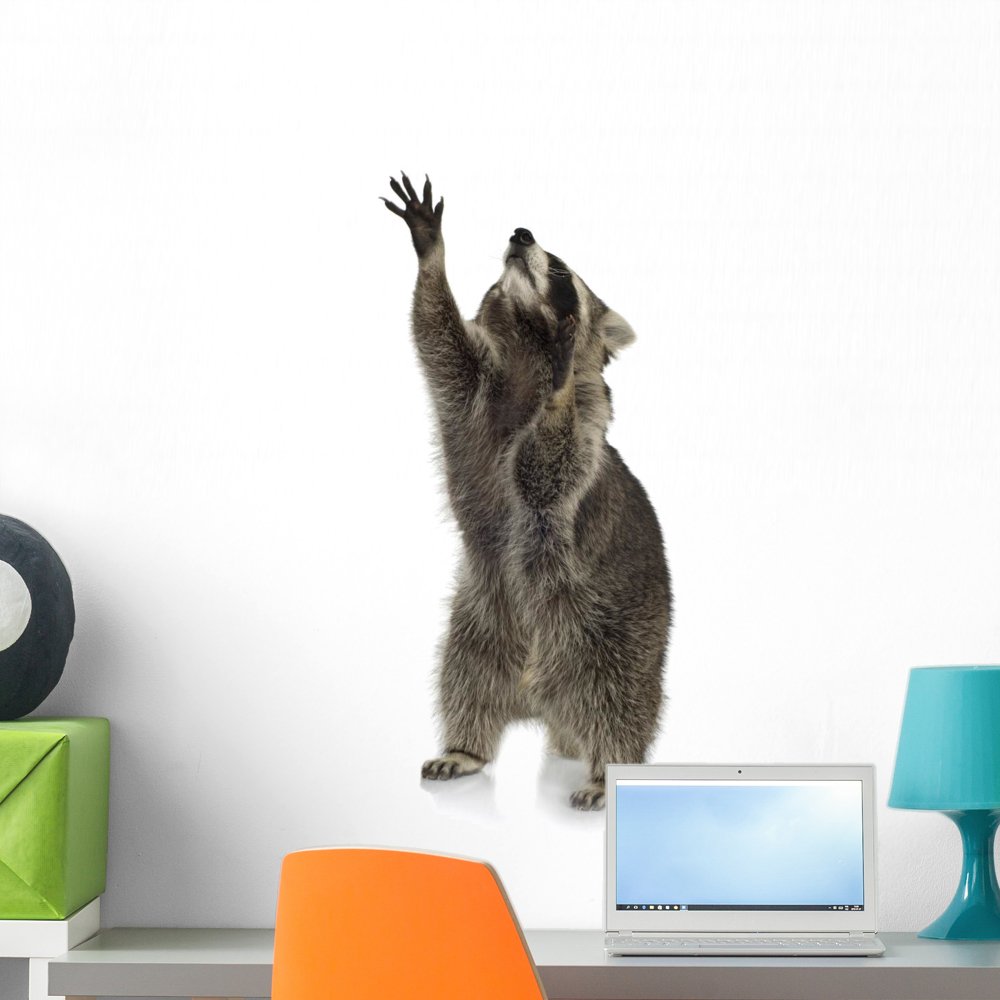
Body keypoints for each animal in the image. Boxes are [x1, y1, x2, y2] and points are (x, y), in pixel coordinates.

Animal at [383, 173, 671, 809]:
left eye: (561, 271)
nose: (521, 233)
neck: (525, 346)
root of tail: (545, 701)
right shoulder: (472, 391)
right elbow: (437, 338)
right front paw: (431, 252)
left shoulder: (583, 439)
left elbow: (548, 469)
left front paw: (560, 388)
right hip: (480, 619)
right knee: (465, 676)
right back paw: (465, 745)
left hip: (616, 632)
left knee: (619, 703)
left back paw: (606, 770)